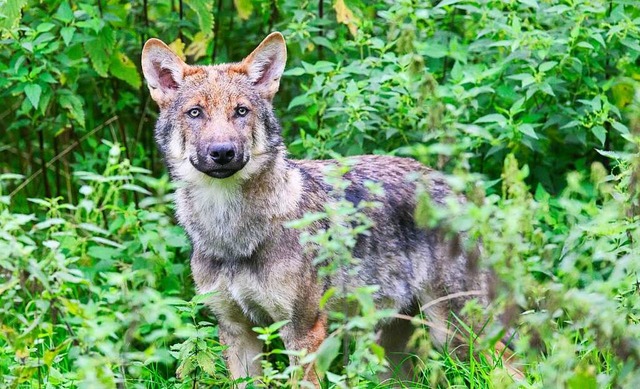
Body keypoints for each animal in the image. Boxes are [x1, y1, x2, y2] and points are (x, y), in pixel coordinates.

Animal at [140, 31, 490, 384]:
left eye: (240, 111)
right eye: (195, 112)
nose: (222, 152)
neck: (231, 233)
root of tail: (456, 189)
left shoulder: (303, 331)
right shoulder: (236, 331)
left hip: (456, 336)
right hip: (392, 358)